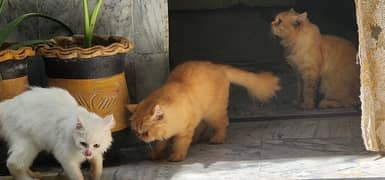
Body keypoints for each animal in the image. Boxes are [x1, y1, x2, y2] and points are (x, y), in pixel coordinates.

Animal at [126, 61, 280, 161]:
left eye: (145, 132)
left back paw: (217, 139)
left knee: (223, 124)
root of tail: (218, 67)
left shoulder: (185, 130)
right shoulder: (168, 133)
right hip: (203, 113)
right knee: (202, 125)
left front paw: (176, 157)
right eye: (136, 131)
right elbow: (160, 145)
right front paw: (157, 155)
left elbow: (180, 144)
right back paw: (197, 139)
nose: (140, 138)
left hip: (214, 113)